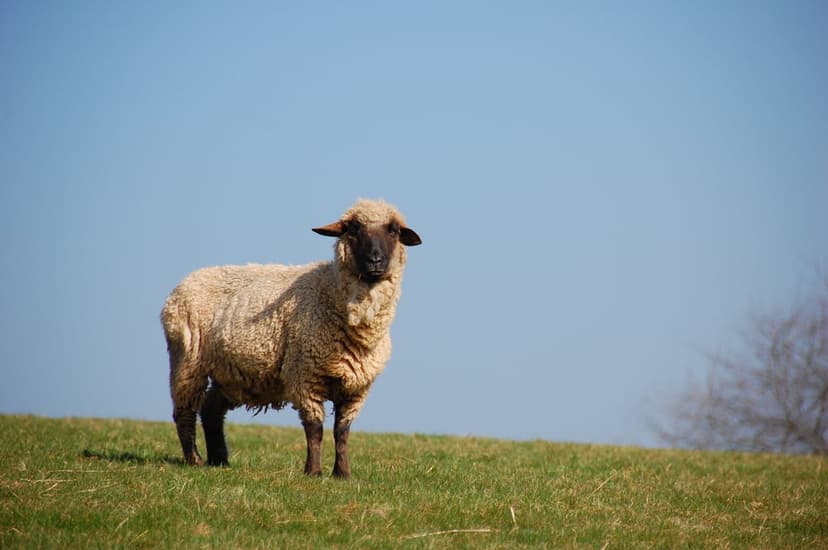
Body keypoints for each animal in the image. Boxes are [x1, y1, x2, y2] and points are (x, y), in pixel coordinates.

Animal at [161, 199, 421, 478]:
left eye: (393, 230)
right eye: (353, 229)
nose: (375, 260)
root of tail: (183, 283)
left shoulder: (357, 387)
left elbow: (342, 432)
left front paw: (342, 474)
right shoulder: (305, 375)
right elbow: (315, 429)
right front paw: (314, 472)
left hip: (231, 374)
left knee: (211, 409)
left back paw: (219, 460)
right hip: (187, 361)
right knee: (184, 412)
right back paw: (195, 460)